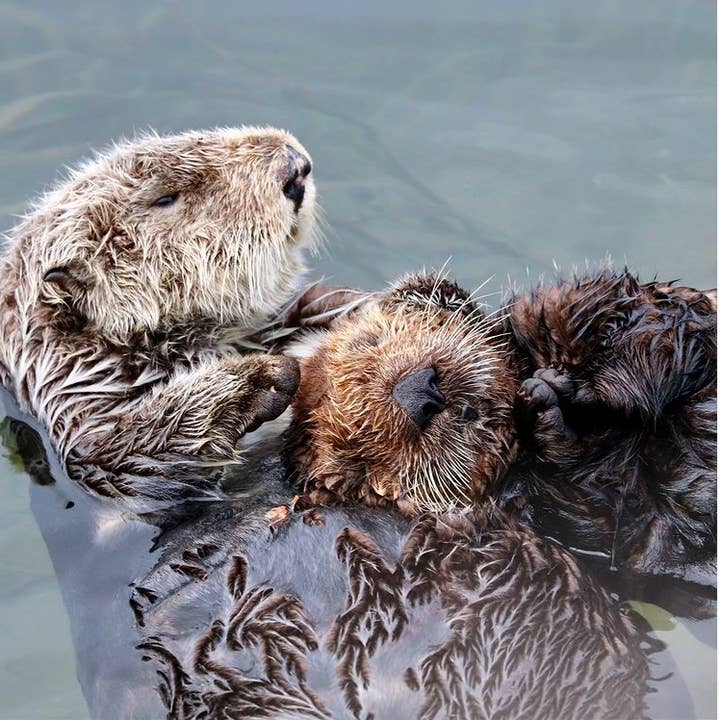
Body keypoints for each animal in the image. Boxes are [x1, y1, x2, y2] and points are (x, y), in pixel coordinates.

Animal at [285, 271, 716, 576]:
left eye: (372, 342)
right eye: (361, 455)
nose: (419, 393)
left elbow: (627, 309)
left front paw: (568, 382)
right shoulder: (583, 517)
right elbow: (613, 516)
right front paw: (546, 403)